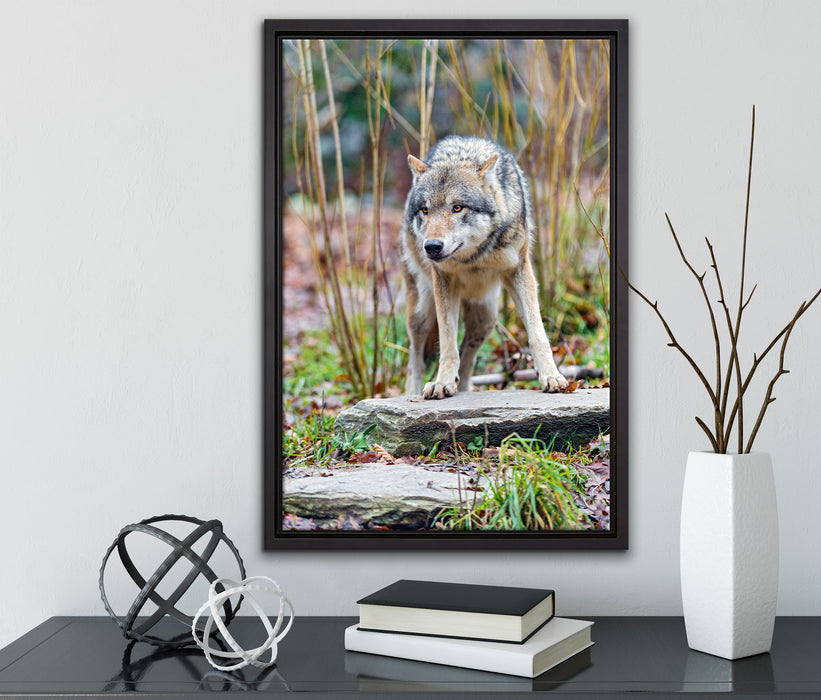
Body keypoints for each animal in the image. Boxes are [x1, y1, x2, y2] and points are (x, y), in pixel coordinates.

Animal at [400, 135, 568, 399]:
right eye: (425, 210)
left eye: (457, 207)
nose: (432, 247)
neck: (474, 258)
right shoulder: (443, 281)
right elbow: (447, 342)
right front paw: (441, 382)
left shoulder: (520, 272)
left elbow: (537, 333)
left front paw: (552, 377)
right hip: (421, 314)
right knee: (416, 360)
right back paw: (414, 393)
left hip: (485, 320)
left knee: (467, 362)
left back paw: (463, 389)